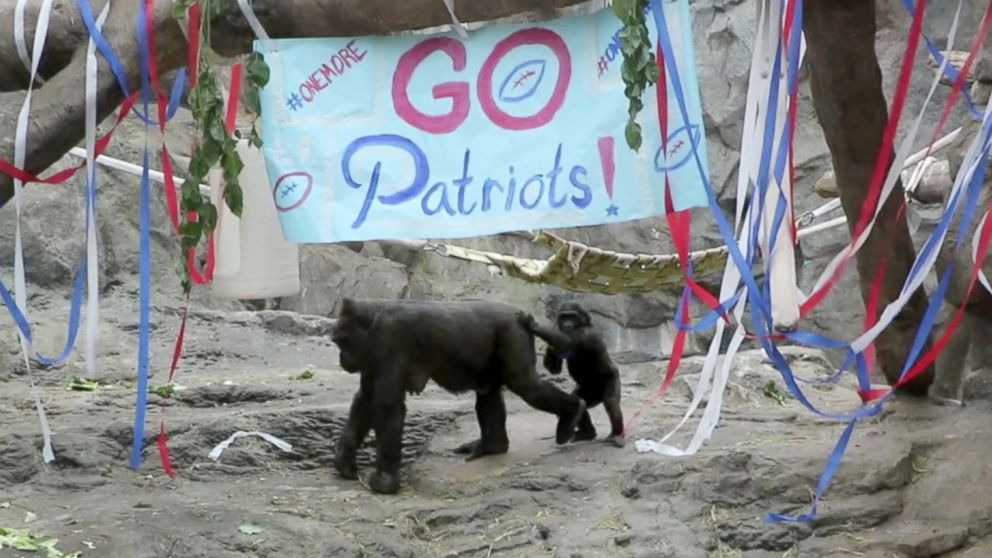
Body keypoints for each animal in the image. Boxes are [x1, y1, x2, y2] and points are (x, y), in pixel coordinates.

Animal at [330, 300, 584, 496]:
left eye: (342, 341)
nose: (341, 358)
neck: (374, 319)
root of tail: (519, 312)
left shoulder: (388, 338)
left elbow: (387, 406)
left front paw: (384, 480)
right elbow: (366, 400)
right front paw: (344, 462)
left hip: (513, 330)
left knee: (526, 385)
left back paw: (572, 411)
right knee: (488, 391)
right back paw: (493, 446)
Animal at [520, 304, 620, 448]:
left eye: (572, 316)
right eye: (564, 317)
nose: (567, 324)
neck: (582, 324)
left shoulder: (584, 334)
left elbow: (565, 342)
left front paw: (533, 325)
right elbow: (555, 368)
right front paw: (550, 346)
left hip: (612, 378)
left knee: (611, 402)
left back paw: (616, 434)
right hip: (589, 392)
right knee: (580, 400)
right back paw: (587, 433)